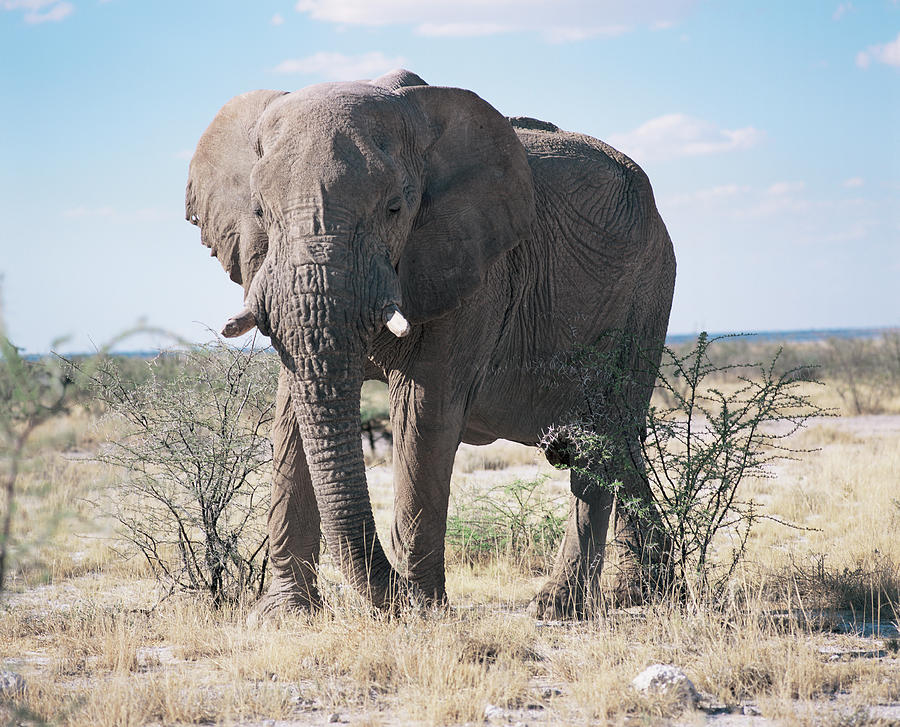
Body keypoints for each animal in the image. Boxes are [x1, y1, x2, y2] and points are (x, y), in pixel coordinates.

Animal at [183, 69, 676, 620]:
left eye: (395, 208)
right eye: (261, 212)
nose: (391, 595)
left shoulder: (473, 267)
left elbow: (423, 413)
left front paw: (419, 611)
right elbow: (292, 417)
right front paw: (284, 615)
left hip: (647, 292)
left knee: (602, 439)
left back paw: (557, 607)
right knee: (617, 446)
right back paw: (642, 592)